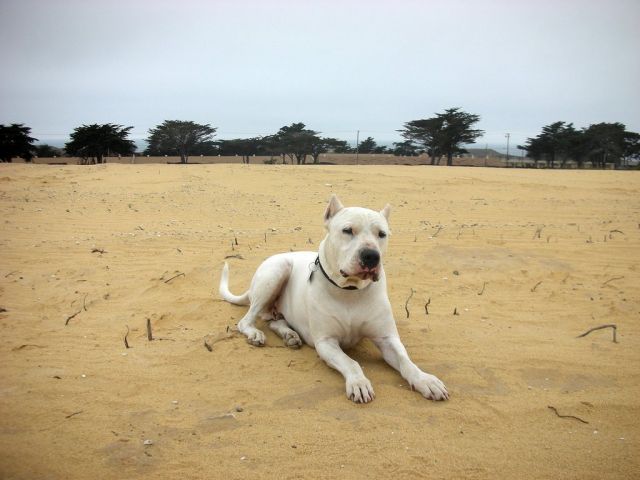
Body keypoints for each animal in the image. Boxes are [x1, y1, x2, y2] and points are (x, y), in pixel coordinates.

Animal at [220, 193, 450, 404]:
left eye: (382, 234)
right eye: (348, 230)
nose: (371, 256)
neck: (350, 292)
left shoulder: (387, 339)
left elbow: (406, 361)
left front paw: (425, 379)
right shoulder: (326, 342)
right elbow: (350, 362)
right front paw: (358, 382)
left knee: (274, 320)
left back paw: (290, 335)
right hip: (276, 271)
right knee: (246, 320)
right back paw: (256, 333)